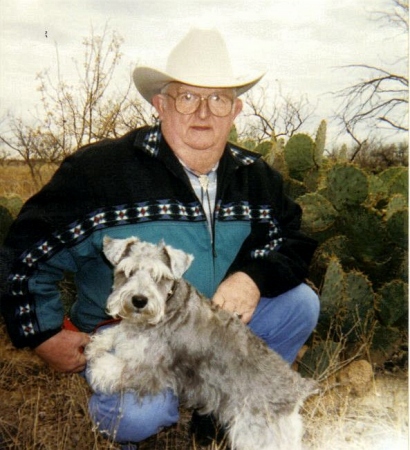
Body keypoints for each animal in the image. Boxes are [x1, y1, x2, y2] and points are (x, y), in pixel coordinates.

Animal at [85, 237, 318, 448]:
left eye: (159, 277)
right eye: (127, 272)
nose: (139, 300)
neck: (168, 304)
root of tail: (298, 388)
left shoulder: (152, 367)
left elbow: (117, 367)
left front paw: (98, 368)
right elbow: (117, 332)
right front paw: (97, 344)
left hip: (256, 433)